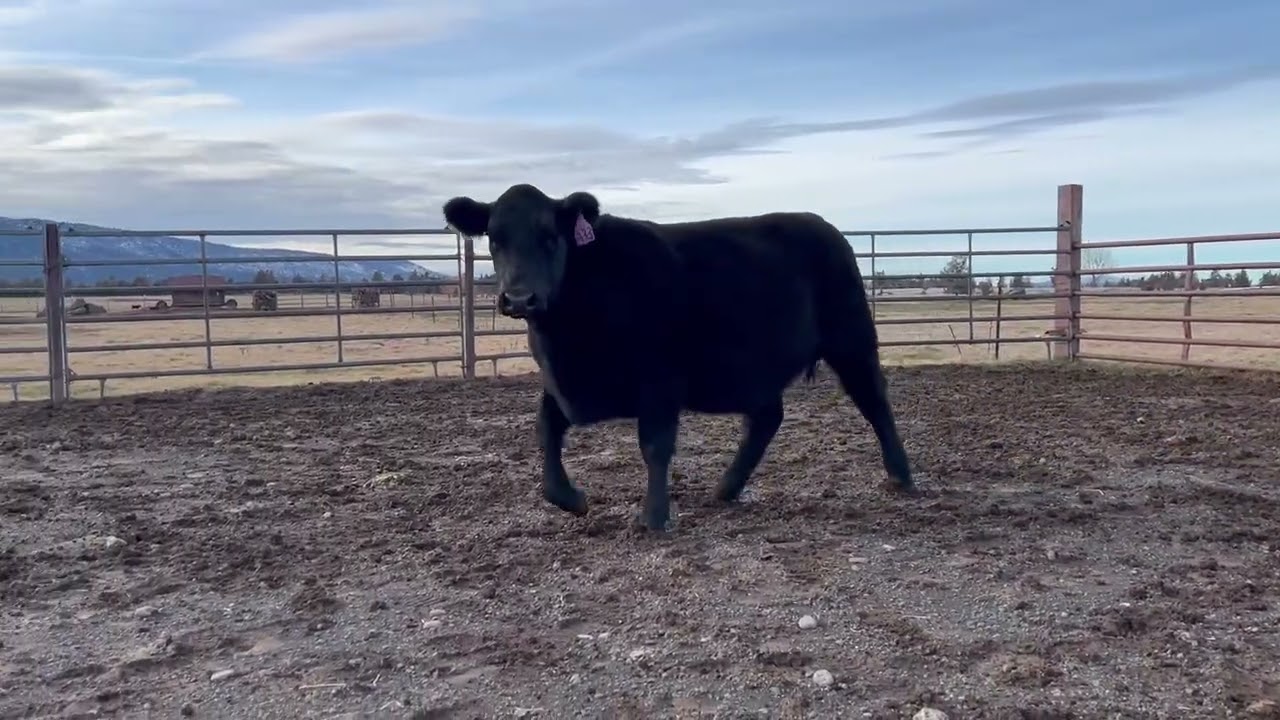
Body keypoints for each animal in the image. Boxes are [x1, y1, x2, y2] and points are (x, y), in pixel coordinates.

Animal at [443, 183, 914, 532]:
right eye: (495, 239)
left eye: (549, 237)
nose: (520, 298)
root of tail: (821, 225)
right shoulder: (562, 383)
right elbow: (546, 428)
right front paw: (571, 498)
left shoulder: (660, 379)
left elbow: (655, 445)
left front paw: (654, 517)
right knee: (766, 419)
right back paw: (726, 488)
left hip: (851, 339)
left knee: (875, 402)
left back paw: (902, 476)